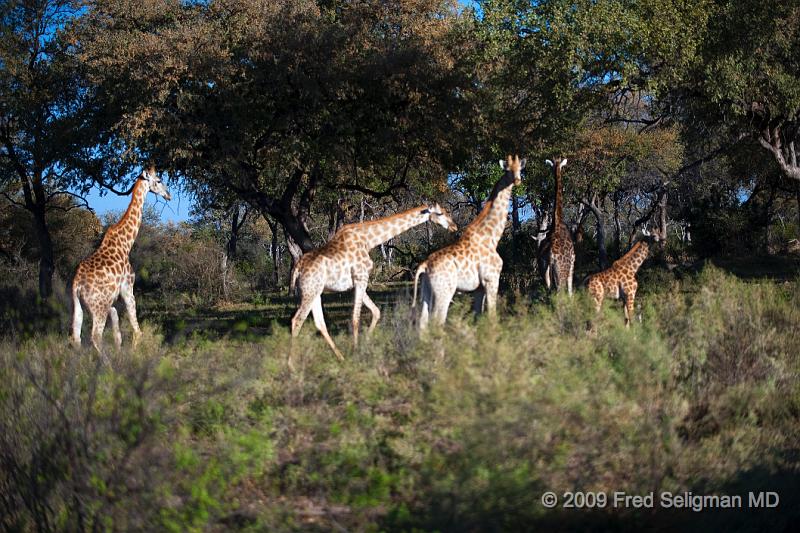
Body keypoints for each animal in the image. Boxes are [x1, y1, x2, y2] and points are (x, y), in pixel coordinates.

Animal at [70, 165, 170, 358]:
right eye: (159, 180)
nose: (168, 195)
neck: (125, 244)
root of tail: (78, 286)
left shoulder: (112, 301)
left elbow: (118, 333)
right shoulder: (127, 287)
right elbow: (137, 330)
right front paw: (133, 357)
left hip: (78, 306)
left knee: (76, 337)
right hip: (98, 307)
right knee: (95, 336)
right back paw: (106, 364)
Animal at [292, 202, 456, 360]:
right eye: (441, 213)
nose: (454, 226)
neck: (368, 240)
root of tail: (297, 269)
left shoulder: (356, 283)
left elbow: (376, 311)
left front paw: (364, 344)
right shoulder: (361, 277)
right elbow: (355, 318)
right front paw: (357, 353)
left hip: (315, 291)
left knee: (319, 323)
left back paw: (341, 358)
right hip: (310, 291)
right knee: (297, 320)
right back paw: (293, 364)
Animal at [412, 153, 524, 328]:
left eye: (520, 168)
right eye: (507, 169)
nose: (517, 180)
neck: (492, 236)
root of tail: (424, 265)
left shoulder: (478, 288)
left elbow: (477, 316)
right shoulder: (491, 279)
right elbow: (492, 316)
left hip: (426, 292)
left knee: (422, 323)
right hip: (444, 291)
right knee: (437, 321)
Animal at [536, 156, 576, 296]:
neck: (557, 223)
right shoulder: (572, 264)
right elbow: (570, 292)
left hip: (549, 273)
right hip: (559, 272)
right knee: (559, 293)